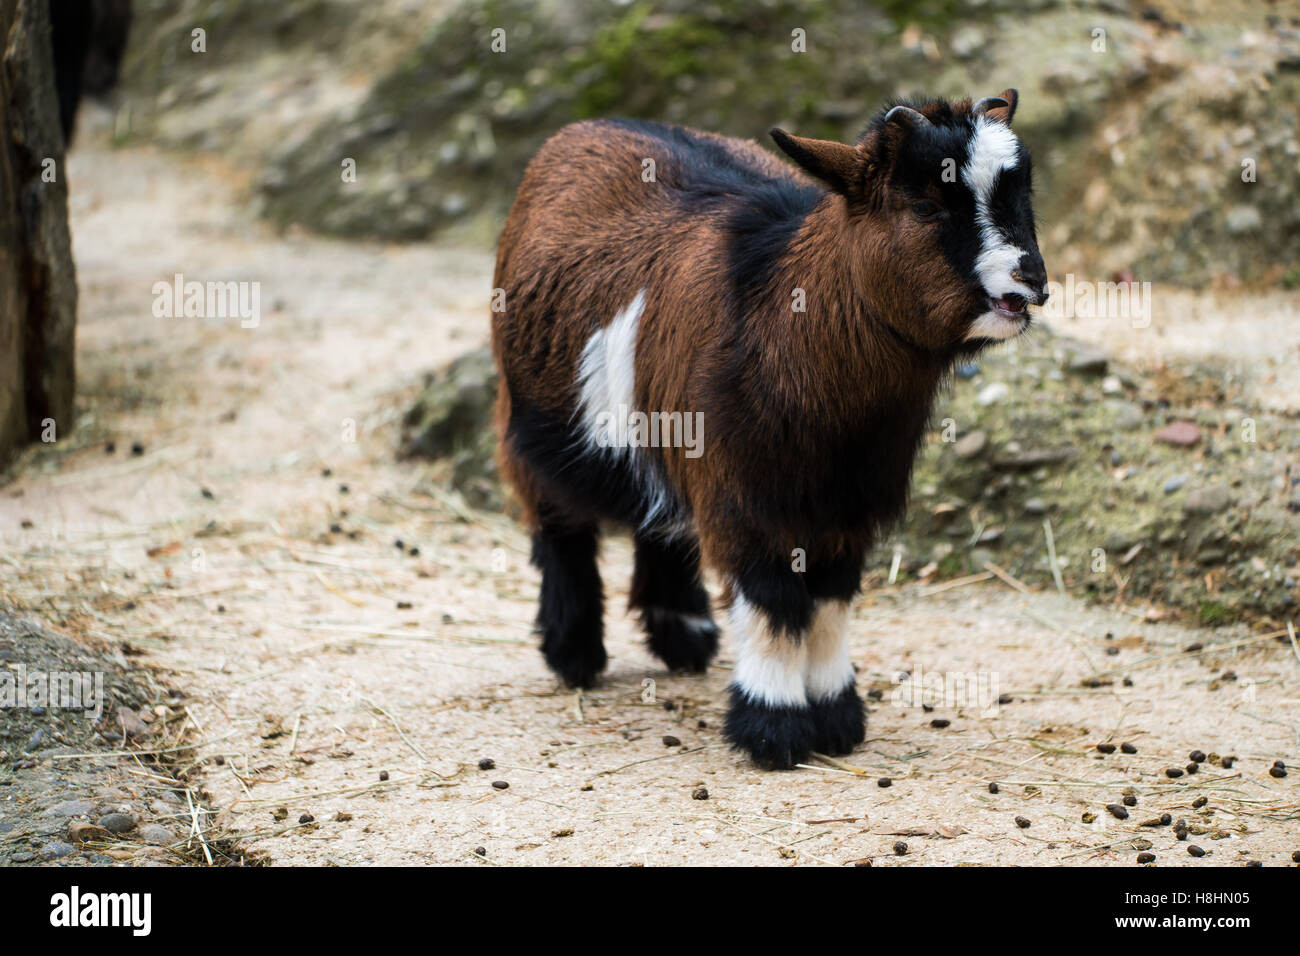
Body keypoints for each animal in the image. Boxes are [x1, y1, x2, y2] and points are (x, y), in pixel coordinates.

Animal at [488, 89, 1045, 770]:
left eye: (1023, 195)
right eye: (924, 205)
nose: (1030, 280)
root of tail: (591, 125)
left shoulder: (848, 502)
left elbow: (830, 601)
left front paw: (835, 717)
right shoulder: (743, 492)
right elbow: (773, 599)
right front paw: (772, 728)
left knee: (659, 517)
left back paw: (685, 636)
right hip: (530, 419)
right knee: (560, 524)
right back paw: (574, 654)